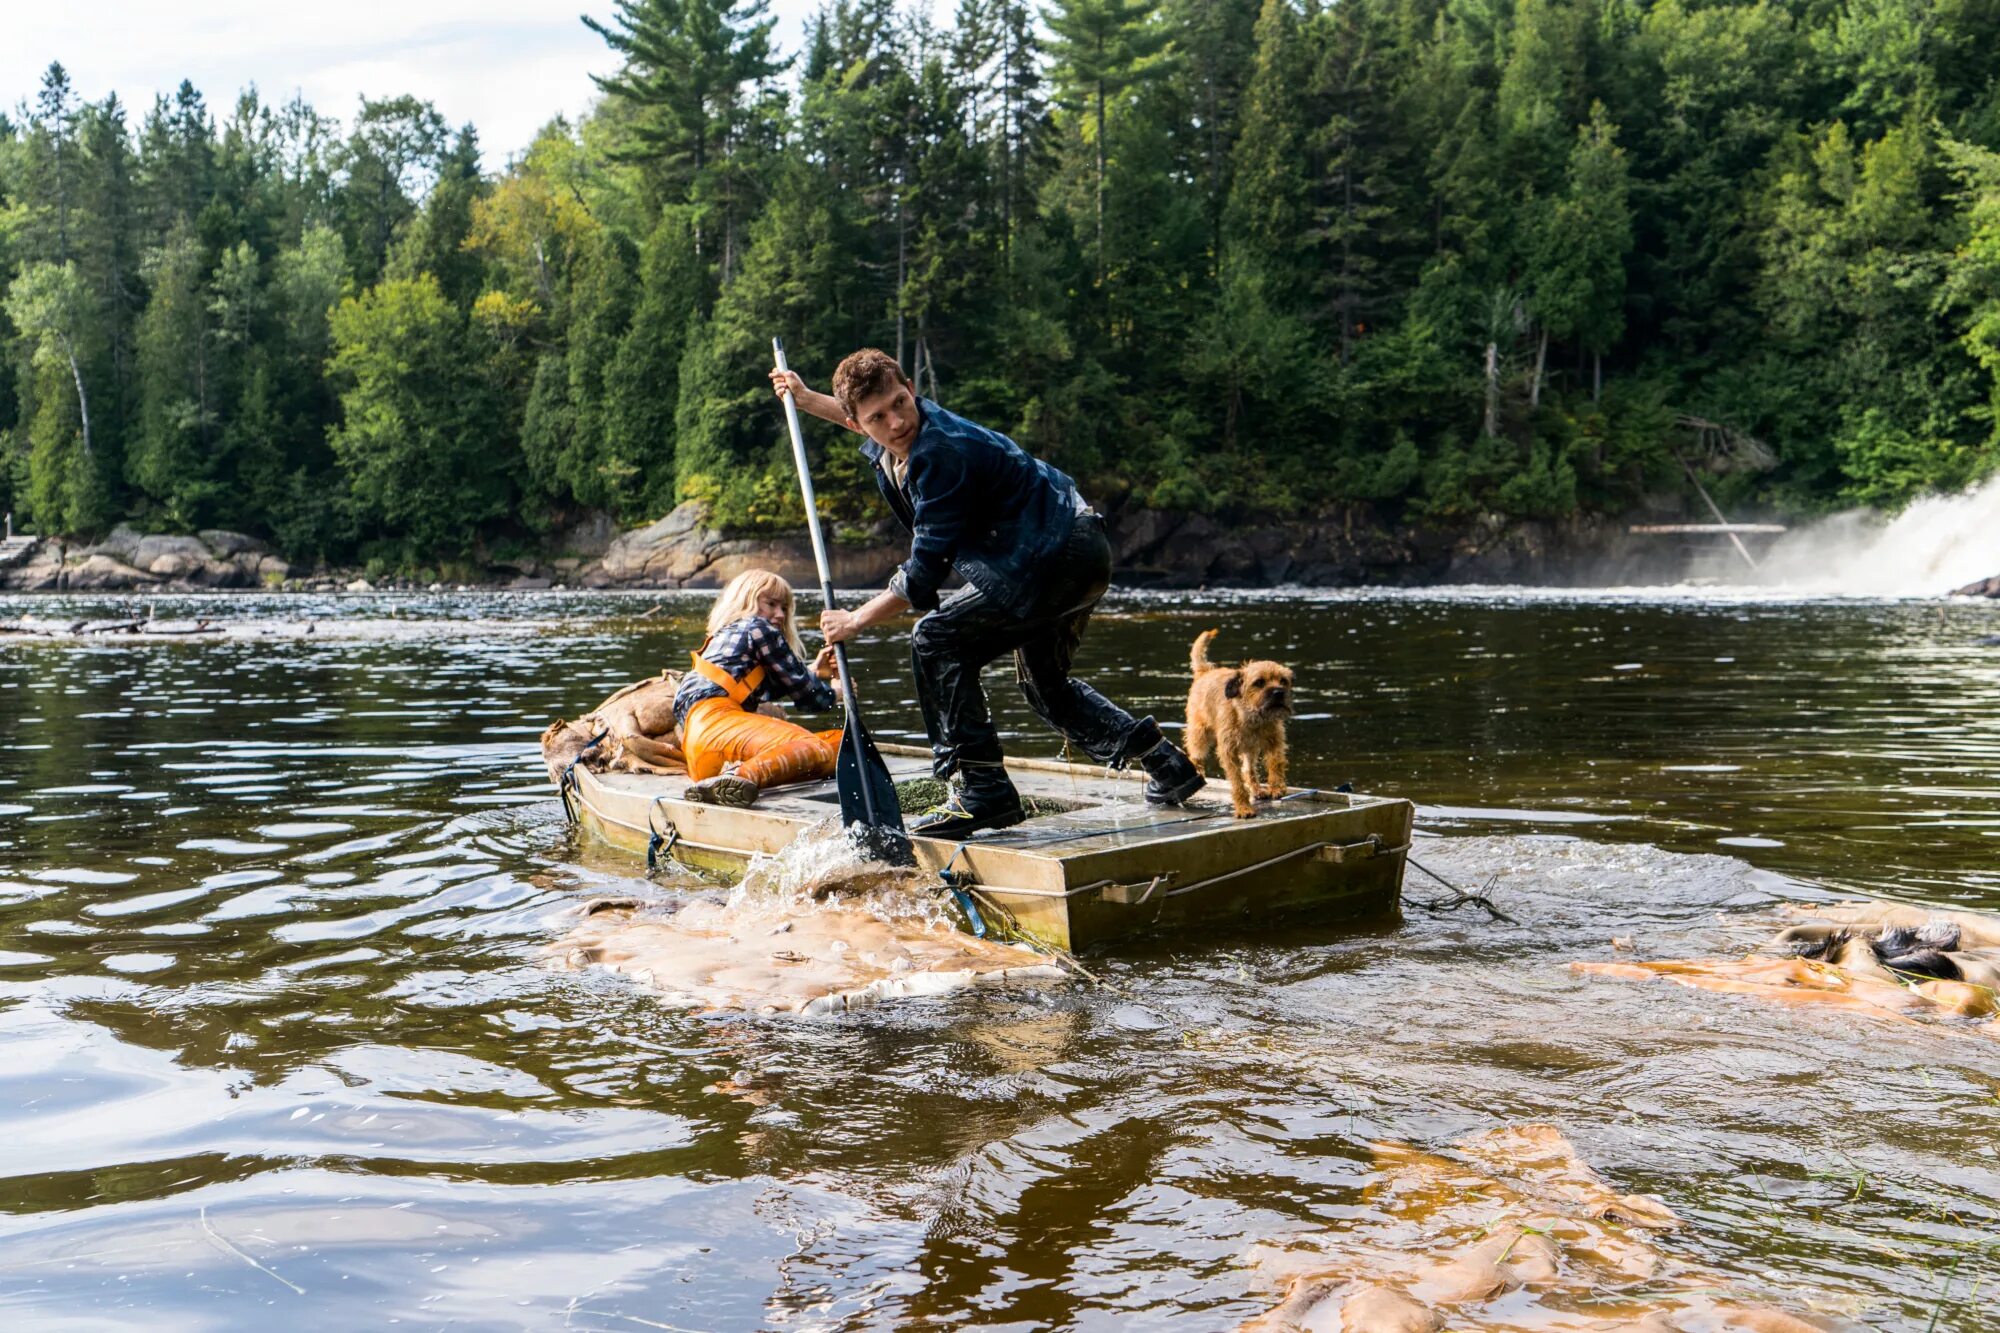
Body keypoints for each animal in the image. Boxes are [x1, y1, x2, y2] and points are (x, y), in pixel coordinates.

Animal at [1184, 628, 1296, 816]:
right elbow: (1237, 782)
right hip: (1200, 735)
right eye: (1259, 682)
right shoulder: (1229, 752)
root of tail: (1205, 672)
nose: (1279, 692)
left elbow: (1276, 762)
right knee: (1195, 755)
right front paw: (1244, 808)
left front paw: (1276, 787)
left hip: (1250, 750)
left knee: (1249, 770)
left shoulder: (1275, 741)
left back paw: (1257, 790)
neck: (1252, 718)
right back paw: (1197, 771)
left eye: (1283, 681)